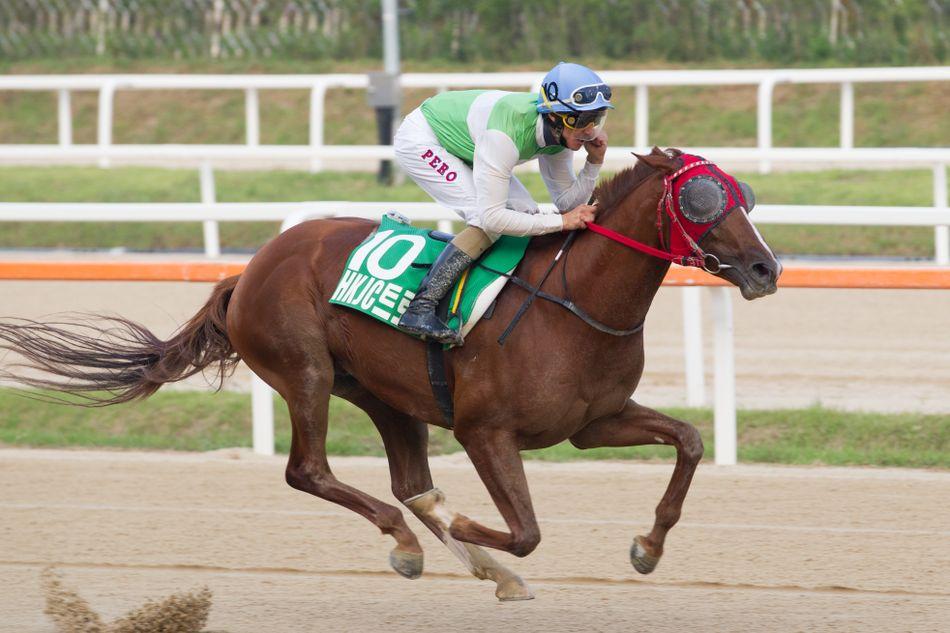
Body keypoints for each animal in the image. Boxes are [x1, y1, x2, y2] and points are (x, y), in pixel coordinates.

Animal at [0, 147, 780, 596]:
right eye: (703, 199)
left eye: (742, 192)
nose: (765, 268)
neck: (575, 300)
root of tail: (247, 270)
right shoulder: (484, 430)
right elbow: (524, 529)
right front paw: (475, 533)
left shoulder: (594, 421)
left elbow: (690, 441)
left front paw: (648, 546)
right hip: (306, 373)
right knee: (311, 472)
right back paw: (413, 543)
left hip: (384, 393)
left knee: (408, 482)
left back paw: (460, 553)